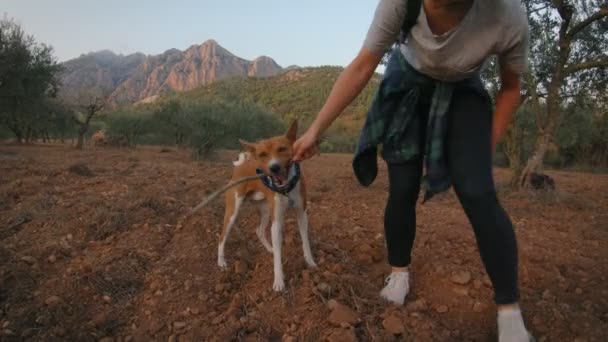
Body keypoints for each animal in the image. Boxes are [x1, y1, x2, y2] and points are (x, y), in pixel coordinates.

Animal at [217, 120, 318, 292]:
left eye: (282, 149)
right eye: (263, 154)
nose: (274, 167)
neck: (286, 189)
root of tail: (240, 166)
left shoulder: (302, 214)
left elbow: (305, 242)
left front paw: (310, 262)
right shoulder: (277, 221)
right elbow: (278, 258)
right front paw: (278, 281)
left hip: (265, 210)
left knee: (258, 230)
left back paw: (270, 249)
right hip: (233, 212)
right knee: (222, 237)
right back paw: (221, 262)